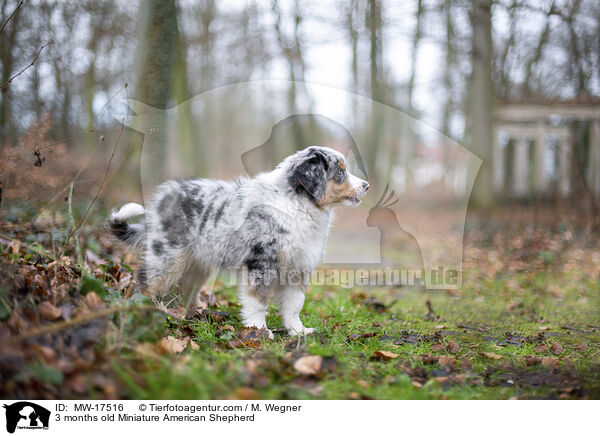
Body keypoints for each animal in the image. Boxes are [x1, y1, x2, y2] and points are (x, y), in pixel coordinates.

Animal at [109, 146, 368, 338]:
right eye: (340, 173)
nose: (367, 186)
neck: (297, 203)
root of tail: (161, 197)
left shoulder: (298, 266)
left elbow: (295, 304)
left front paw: (298, 331)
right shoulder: (262, 263)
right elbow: (259, 300)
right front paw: (259, 331)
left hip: (198, 262)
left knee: (185, 289)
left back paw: (190, 315)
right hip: (166, 256)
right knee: (145, 284)